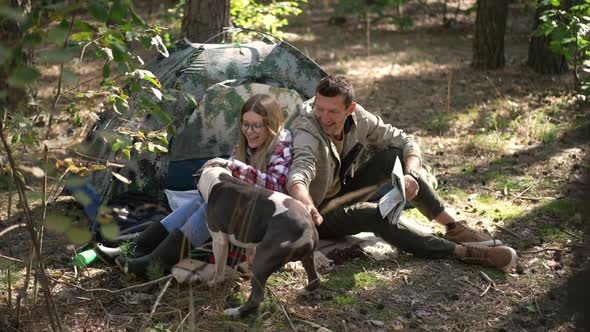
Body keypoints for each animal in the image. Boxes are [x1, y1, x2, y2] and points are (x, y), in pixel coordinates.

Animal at [197, 167, 322, 318]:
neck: (219, 179)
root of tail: (307, 228)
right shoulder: (250, 241)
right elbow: (249, 252)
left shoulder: (219, 241)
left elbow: (219, 268)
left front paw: (215, 282)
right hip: (307, 257)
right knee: (315, 279)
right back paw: (303, 290)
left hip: (263, 260)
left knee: (256, 299)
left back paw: (234, 312)